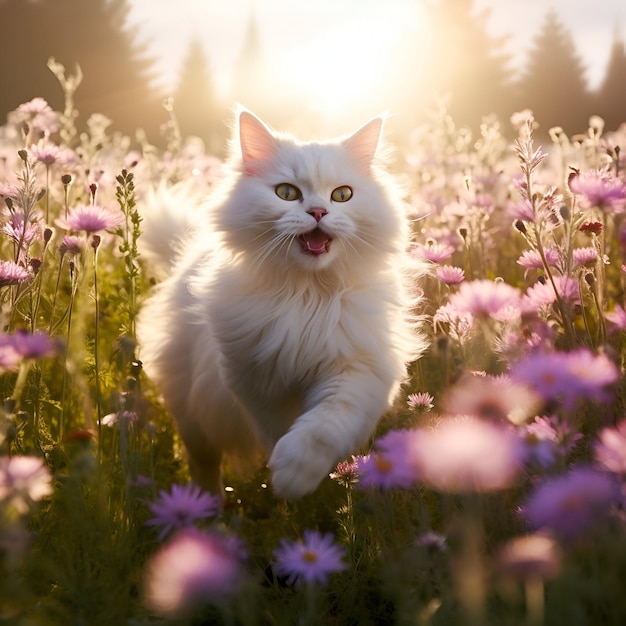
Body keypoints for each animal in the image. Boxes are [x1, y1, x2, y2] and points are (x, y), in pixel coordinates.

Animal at [138, 108, 424, 498]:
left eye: (342, 195)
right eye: (287, 193)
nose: (318, 211)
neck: (307, 295)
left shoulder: (357, 369)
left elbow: (322, 428)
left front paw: (295, 476)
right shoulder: (255, 377)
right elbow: (278, 427)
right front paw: (284, 476)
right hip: (192, 410)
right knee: (204, 465)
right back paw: (203, 508)